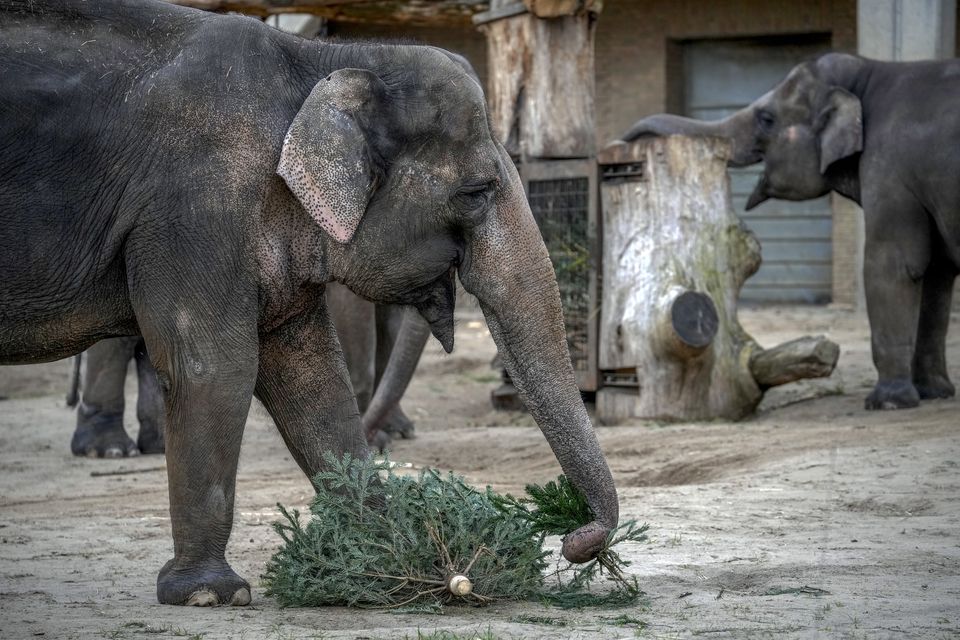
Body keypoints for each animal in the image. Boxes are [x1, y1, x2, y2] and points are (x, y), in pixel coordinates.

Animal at [616, 51, 960, 410]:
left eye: (767, 118)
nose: (621, 150)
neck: (869, 71)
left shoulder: (889, 172)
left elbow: (894, 265)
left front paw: (886, 403)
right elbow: (936, 274)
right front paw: (934, 393)